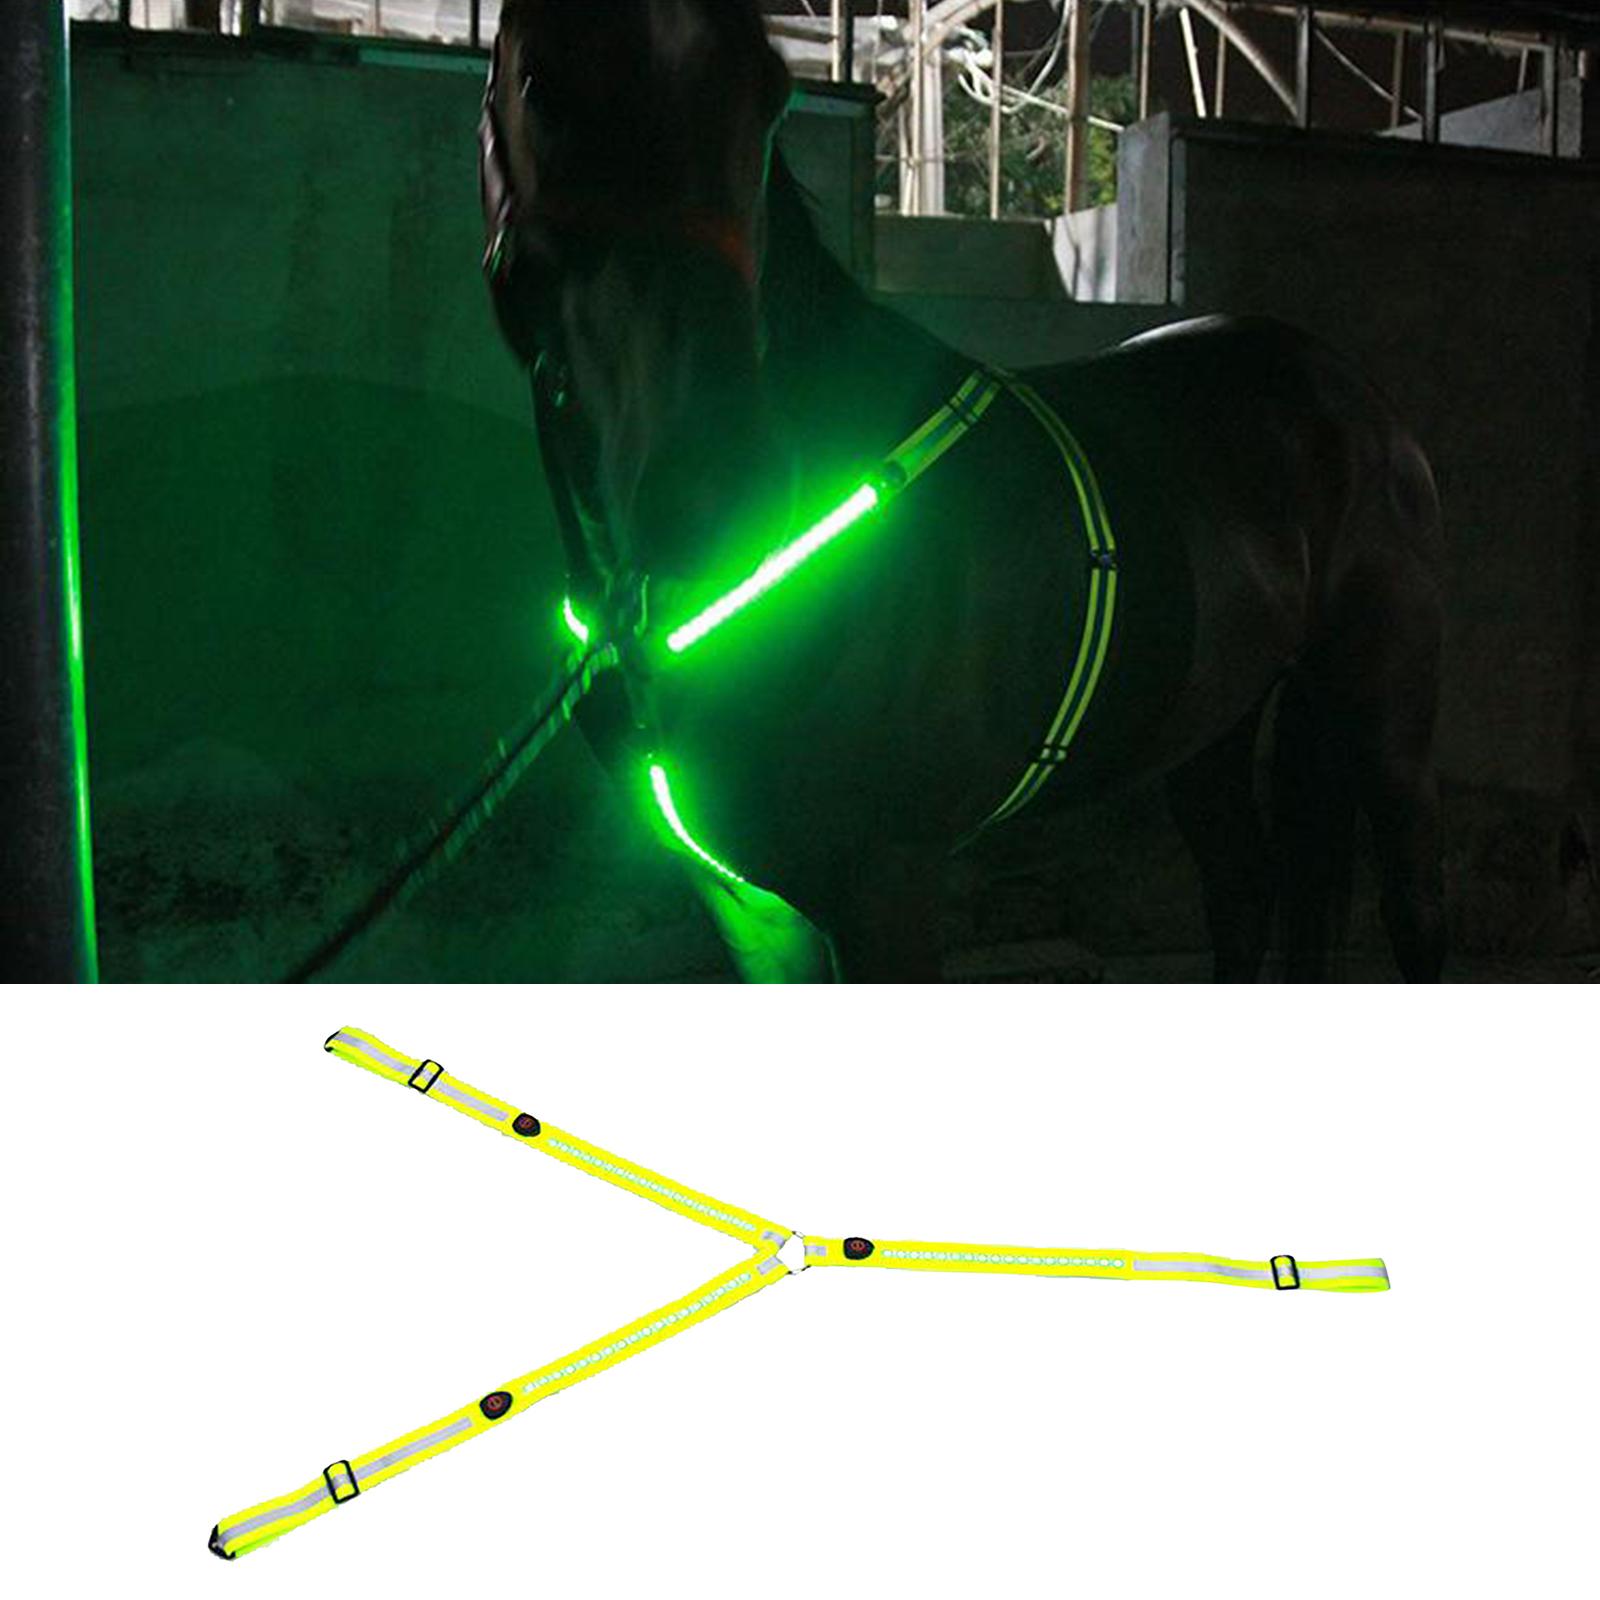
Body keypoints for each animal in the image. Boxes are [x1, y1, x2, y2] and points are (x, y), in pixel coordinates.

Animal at [479, 0, 1446, 983]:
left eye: (772, 95)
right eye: (540, 80)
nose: (715, 489)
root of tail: (1349, 392)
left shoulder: (886, 886)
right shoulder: (751, 907)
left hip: (1385, 724)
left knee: (1412, 907)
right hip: (1210, 723)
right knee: (1244, 888)